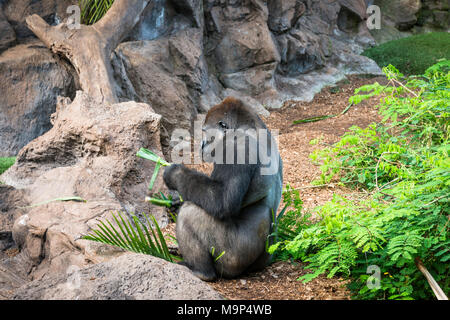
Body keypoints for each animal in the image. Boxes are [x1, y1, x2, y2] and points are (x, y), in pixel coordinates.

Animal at [162, 97, 284, 280]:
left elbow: (221, 200)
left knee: (190, 212)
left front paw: (175, 174)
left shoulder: (236, 148)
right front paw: (174, 202)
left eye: (206, 132)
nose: (202, 144)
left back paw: (200, 271)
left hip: (232, 260)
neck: (250, 127)